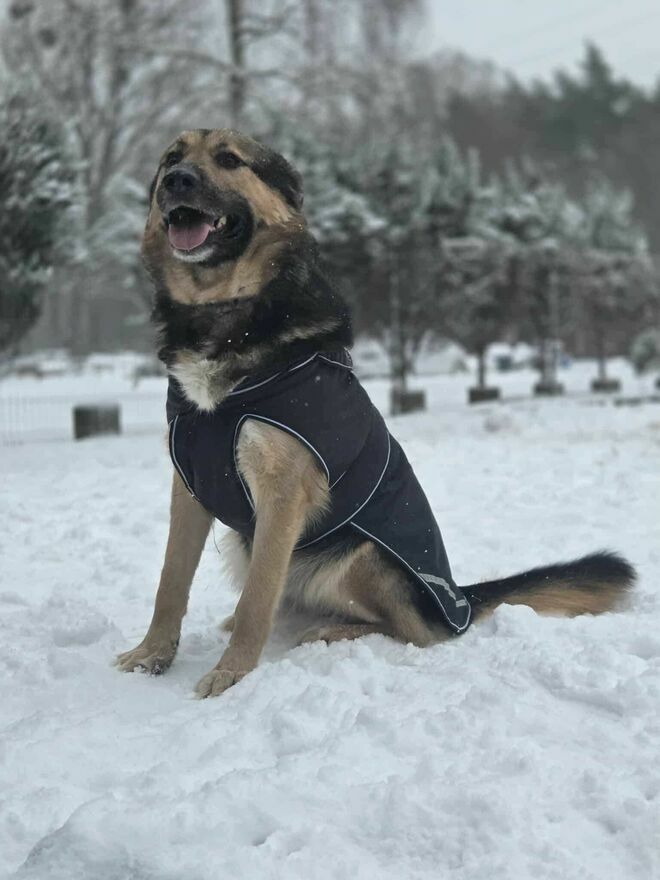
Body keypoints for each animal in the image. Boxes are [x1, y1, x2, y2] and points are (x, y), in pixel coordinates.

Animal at [115, 129, 635, 697]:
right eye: (171, 157)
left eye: (229, 159)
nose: (176, 180)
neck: (222, 315)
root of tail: (459, 597)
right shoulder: (190, 490)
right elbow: (171, 581)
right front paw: (151, 654)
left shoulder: (282, 493)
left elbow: (257, 599)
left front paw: (232, 673)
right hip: (252, 543)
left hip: (359, 555)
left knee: (409, 631)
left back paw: (334, 631)